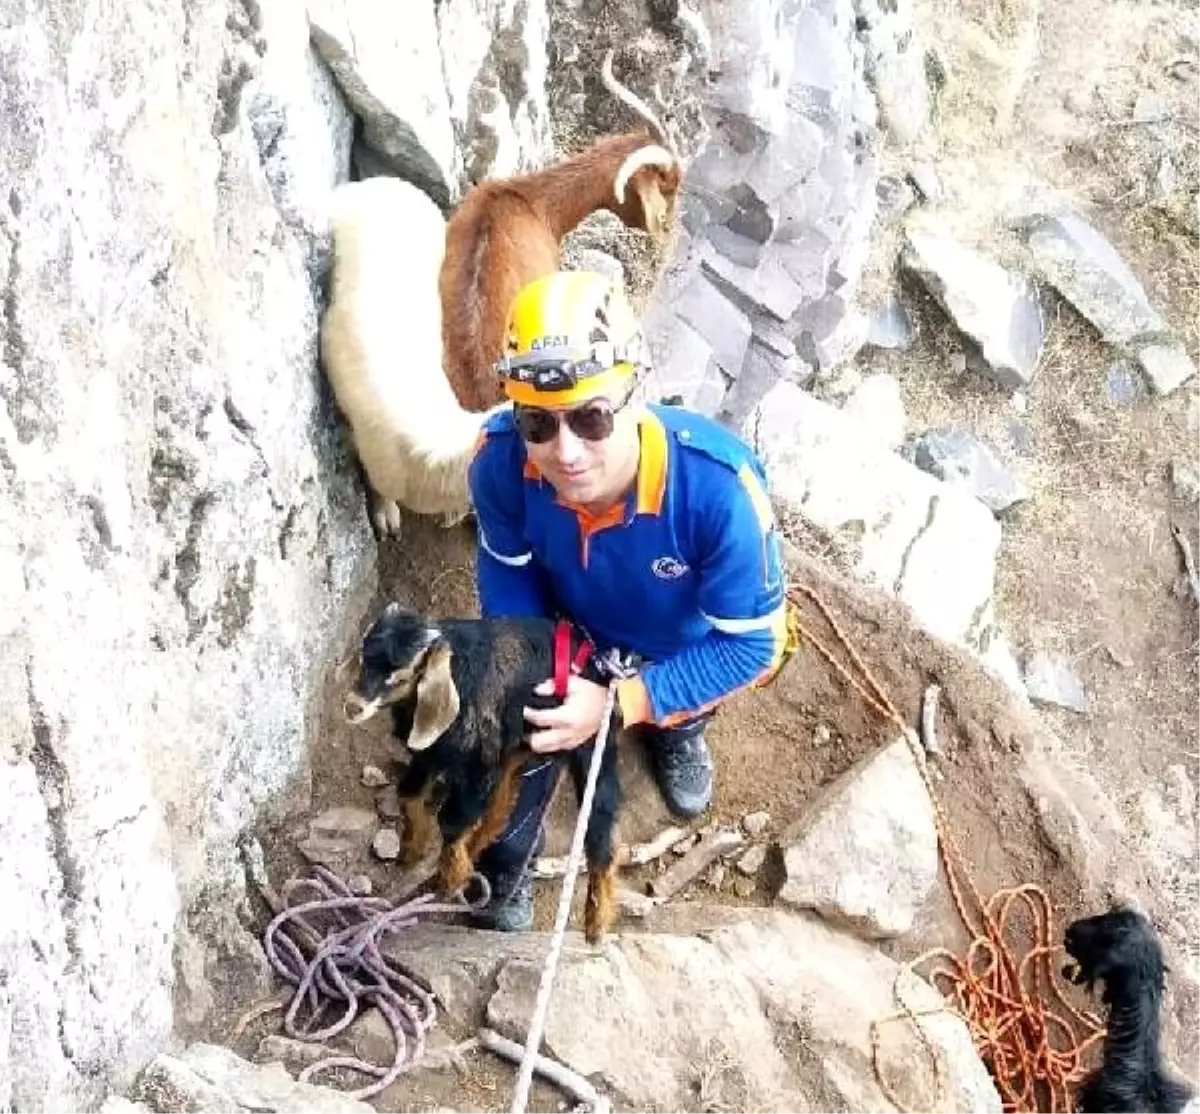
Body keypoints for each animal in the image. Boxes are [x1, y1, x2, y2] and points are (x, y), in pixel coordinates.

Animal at [338, 600, 619, 941]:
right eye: (364, 658)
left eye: (401, 677)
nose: (353, 707)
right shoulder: (430, 754)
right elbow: (409, 794)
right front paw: (412, 849)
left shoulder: (475, 766)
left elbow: (453, 818)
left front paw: (450, 878)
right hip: (517, 746)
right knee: (502, 804)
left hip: (592, 745)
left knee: (601, 827)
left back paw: (596, 923)